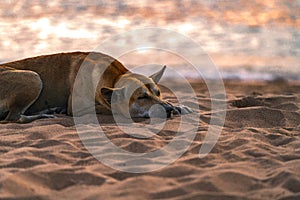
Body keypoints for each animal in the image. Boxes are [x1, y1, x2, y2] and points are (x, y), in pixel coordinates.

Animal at [0, 51, 191, 123]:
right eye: (141, 97)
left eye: (158, 93)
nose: (168, 110)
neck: (113, 78)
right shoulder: (78, 107)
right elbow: (109, 109)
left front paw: (178, 106)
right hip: (34, 78)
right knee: (14, 117)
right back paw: (41, 115)